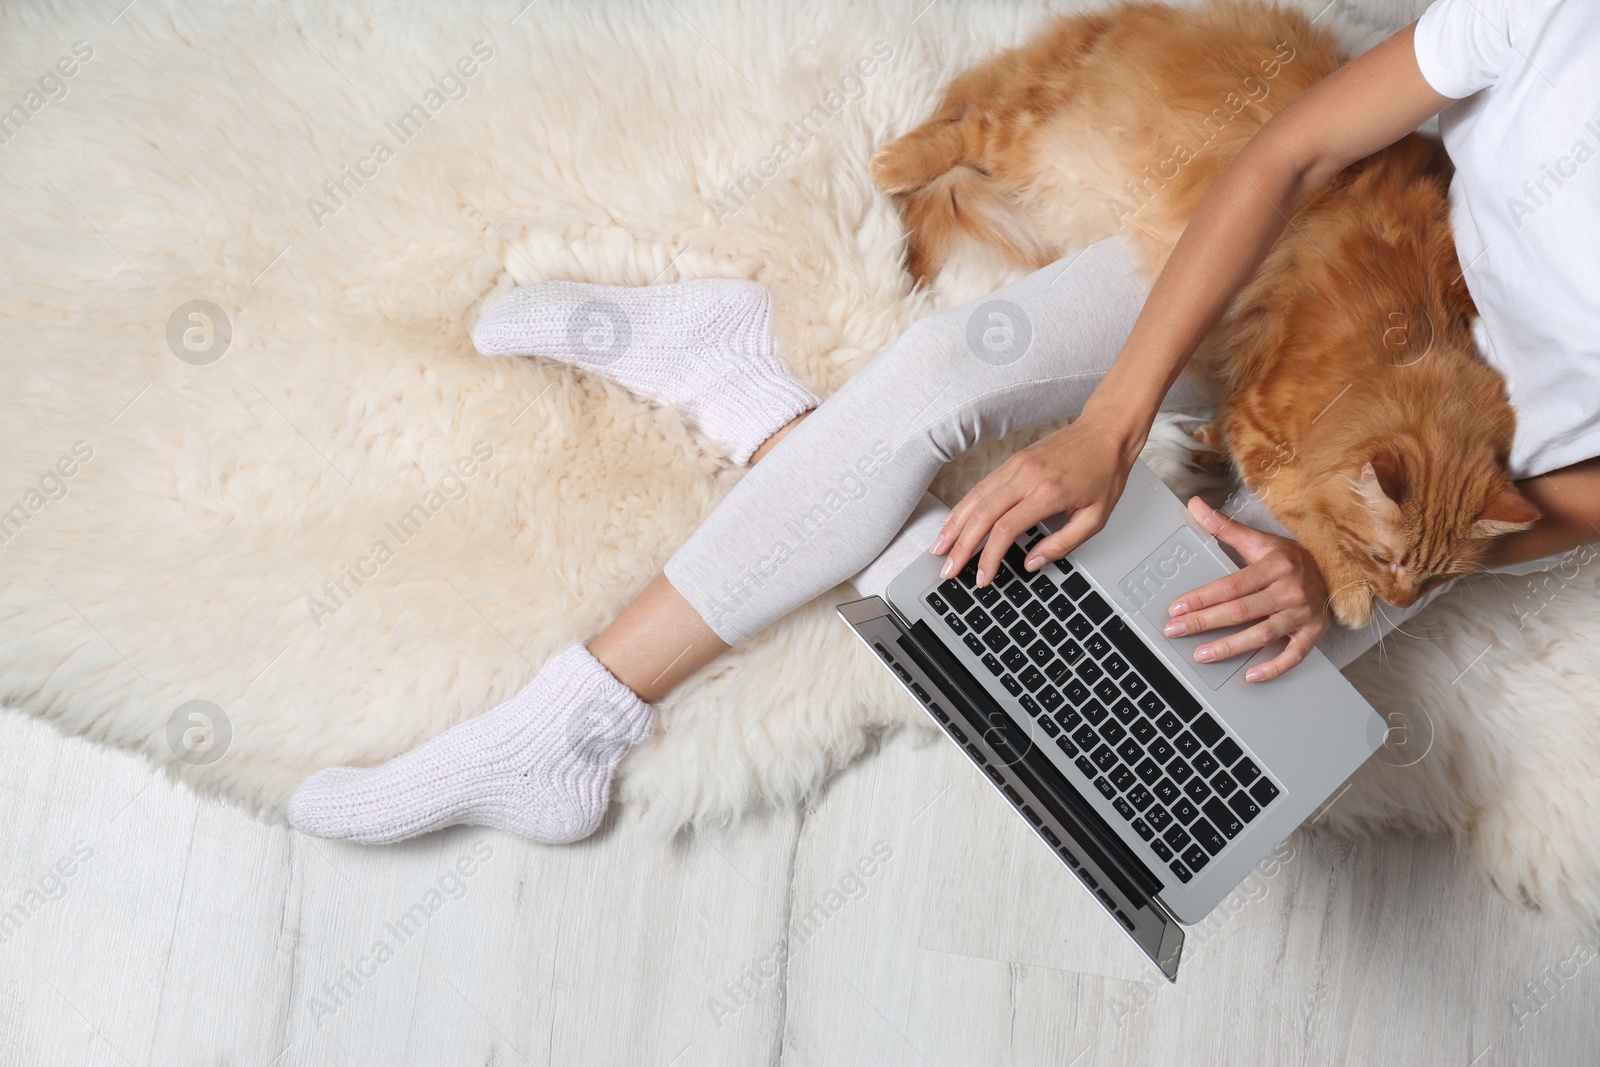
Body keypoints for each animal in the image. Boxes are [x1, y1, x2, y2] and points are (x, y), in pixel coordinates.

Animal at [870, 0, 1542, 630]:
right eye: (1385, 560)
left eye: (1433, 581)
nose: (1402, 602)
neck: (1405, 345)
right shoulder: (1262, 419)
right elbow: (1299, 503)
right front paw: (1345, 593)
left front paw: (1205, 446)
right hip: (1035, 139)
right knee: (971, 127)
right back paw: (892, 168)